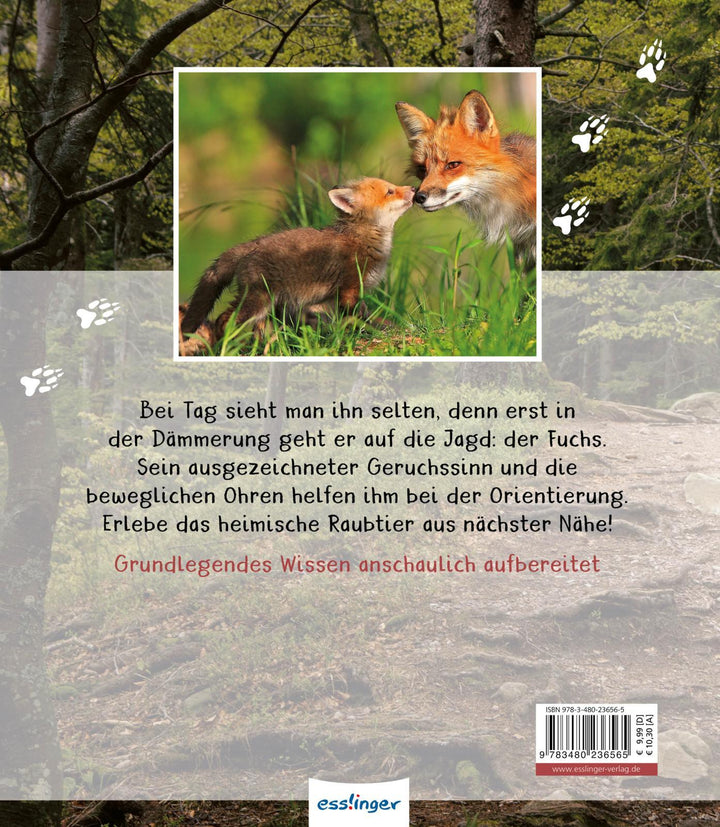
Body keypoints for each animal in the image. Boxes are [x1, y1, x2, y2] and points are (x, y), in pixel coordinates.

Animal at [179, 177, 415, 355]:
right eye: (390, 191)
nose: (414, 188)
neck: (362, 239)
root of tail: (253, 244)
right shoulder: (350, 289)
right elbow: (363, 318)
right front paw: (378, 331)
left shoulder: (336, 298)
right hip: (258, 300)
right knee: (224, 321)